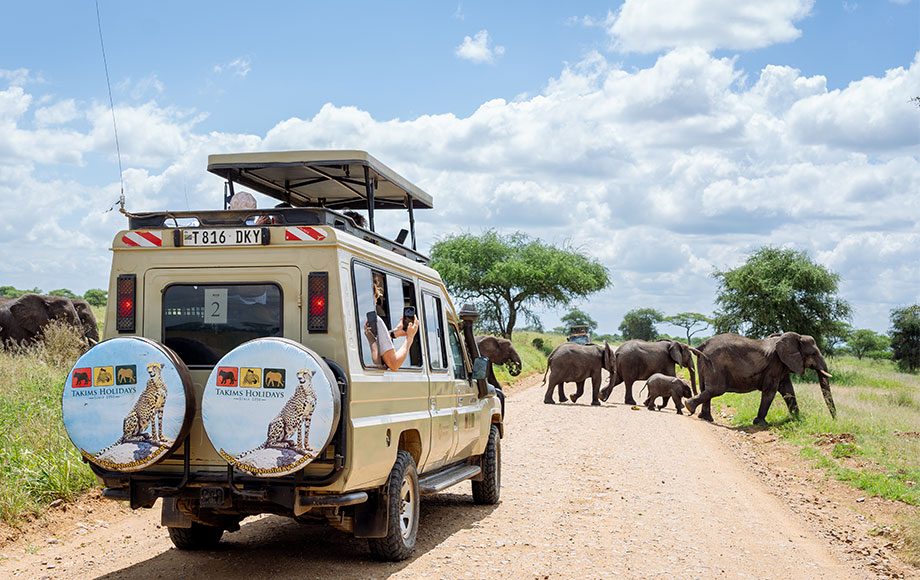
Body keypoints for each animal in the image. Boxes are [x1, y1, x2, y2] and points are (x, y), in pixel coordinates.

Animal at [684, 330, 840, 426]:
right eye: (813, 353)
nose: (835, 421)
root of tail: (702, 345)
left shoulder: (783, 364)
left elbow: (788, 390)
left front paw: (797, 418)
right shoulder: (775, 363)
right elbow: (770, 390)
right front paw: (761, 423)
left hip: (704, 363)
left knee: (706, 388)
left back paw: (705, 418)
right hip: (716, 364)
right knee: (715, 389)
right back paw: (689, 407)